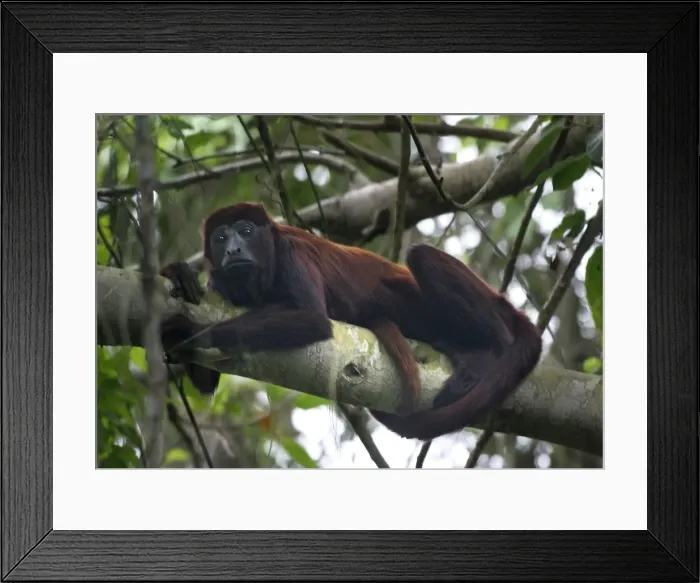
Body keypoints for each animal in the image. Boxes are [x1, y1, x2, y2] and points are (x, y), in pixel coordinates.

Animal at [159, 202, 542, 441]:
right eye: (221, 238)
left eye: (246, 231)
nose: (233, 250)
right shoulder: (218, 288)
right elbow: (206, 381)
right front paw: (178, 274)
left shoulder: (292, 255)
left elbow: (313, 320)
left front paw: (191, 332)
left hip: (488, 306)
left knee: (423, 257)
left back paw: (489, 351)